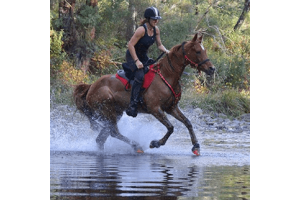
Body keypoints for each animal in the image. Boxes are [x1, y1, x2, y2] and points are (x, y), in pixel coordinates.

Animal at [73, 32, 214, 155]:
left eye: (205, 50)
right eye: (198, 51)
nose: (212, 69)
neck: (167, 75)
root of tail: (91, 86)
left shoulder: (171, 108)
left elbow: (187, 122)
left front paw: (196, 147)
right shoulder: (155, 109)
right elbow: (171, 127)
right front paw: (155, 143)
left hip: (115, 112)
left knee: (103, 137)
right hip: (108, 110)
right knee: (113, 132)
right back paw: (137, 146)